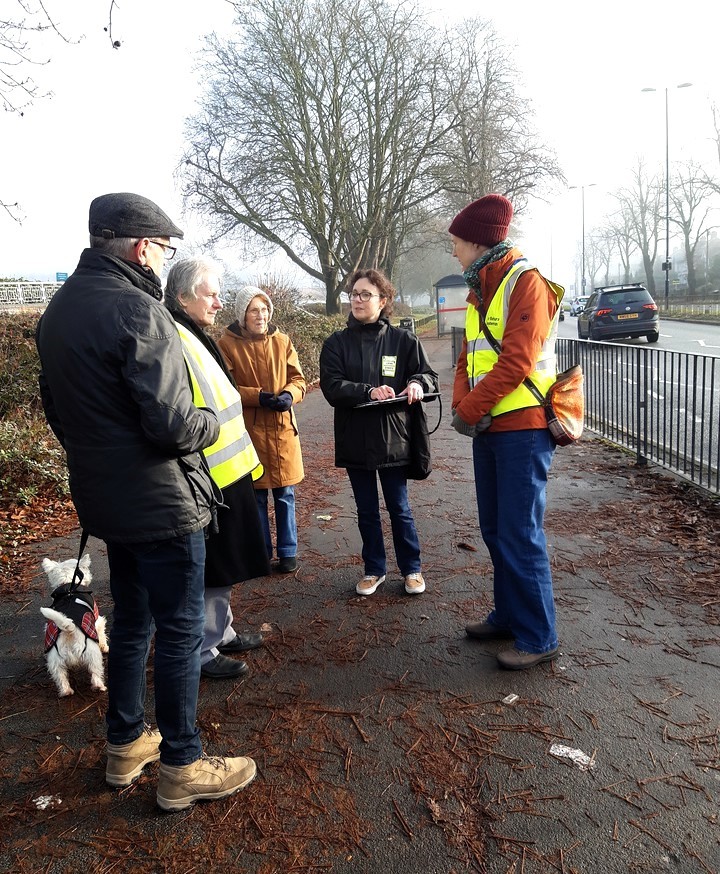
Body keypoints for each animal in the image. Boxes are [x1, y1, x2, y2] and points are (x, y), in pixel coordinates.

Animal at [40, 552, 109, 696]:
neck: (69, 586)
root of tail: (70, 630)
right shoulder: (97, 620)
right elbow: (102, 633)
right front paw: (105, 647)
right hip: (93, 654)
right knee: (95, 672)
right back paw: (100, 687)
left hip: (55, 661)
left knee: (60, 677)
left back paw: (66, 691)